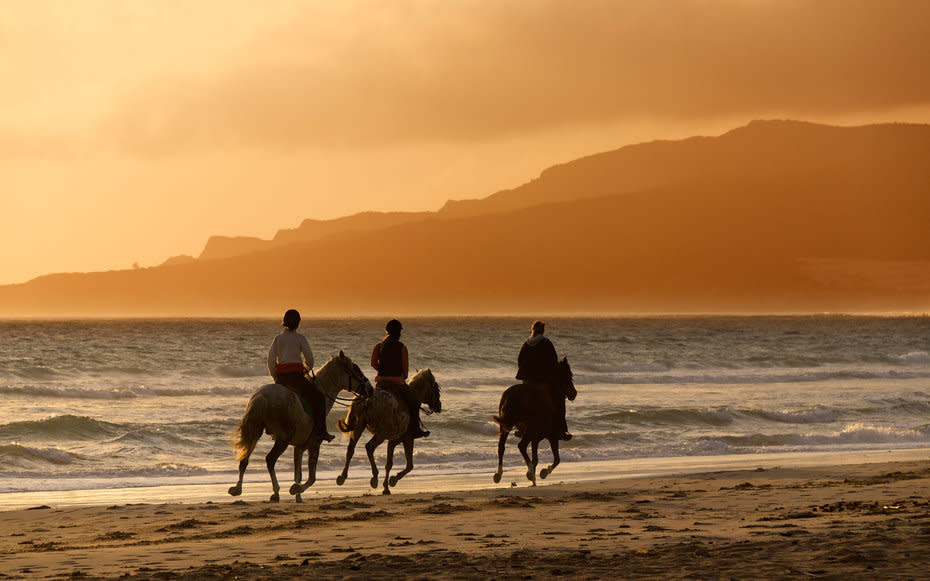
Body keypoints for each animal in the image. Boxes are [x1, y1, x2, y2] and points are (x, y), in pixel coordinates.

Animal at [227, 348, 372, 502]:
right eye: (355, 368)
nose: (370, 389)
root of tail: (262, 396)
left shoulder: (299, 447)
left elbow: (298, 474)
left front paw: (298, 496)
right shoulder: (314, 444)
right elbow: (311, 477)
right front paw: (296, 489)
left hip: (255, 432)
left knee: (244, 460)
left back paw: (237, 489)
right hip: (282, 439)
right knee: (270, 459)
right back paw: (275, 492)